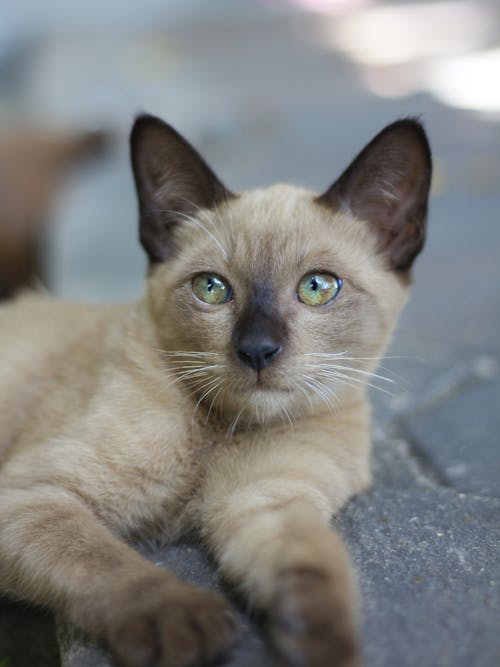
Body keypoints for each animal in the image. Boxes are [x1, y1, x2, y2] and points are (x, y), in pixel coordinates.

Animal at [0, 115, 430, 667]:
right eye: (212, 289)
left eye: (317, 288)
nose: (258, 350)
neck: (223, 431)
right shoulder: (35, 496)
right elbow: (105, 561)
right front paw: (185, 626)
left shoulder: (265, 499)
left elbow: (314, 568)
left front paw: (323, 644)